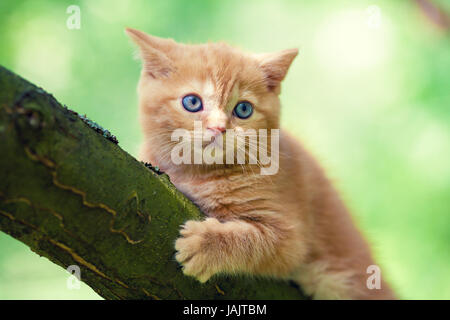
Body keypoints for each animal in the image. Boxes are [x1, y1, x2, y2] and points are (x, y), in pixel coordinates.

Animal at [125, 27, 394, 300]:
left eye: (243, 109)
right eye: (192, 102)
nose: (218, 128)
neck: (199, 174)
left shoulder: (291, 237)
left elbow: (256, 242)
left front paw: (205, 243)